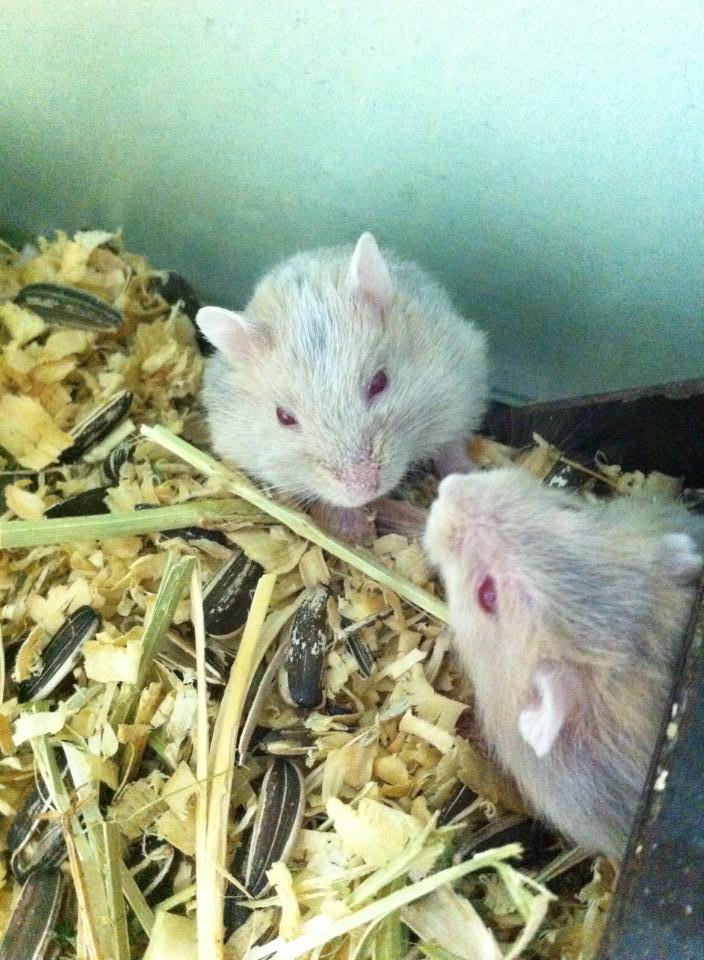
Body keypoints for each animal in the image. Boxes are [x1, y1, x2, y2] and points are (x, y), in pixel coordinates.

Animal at [195, 233, 488, 542]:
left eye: (379, 382)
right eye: (283, 417)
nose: (364, 490)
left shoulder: (458, 392)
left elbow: (450, 446)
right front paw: (355, 530)